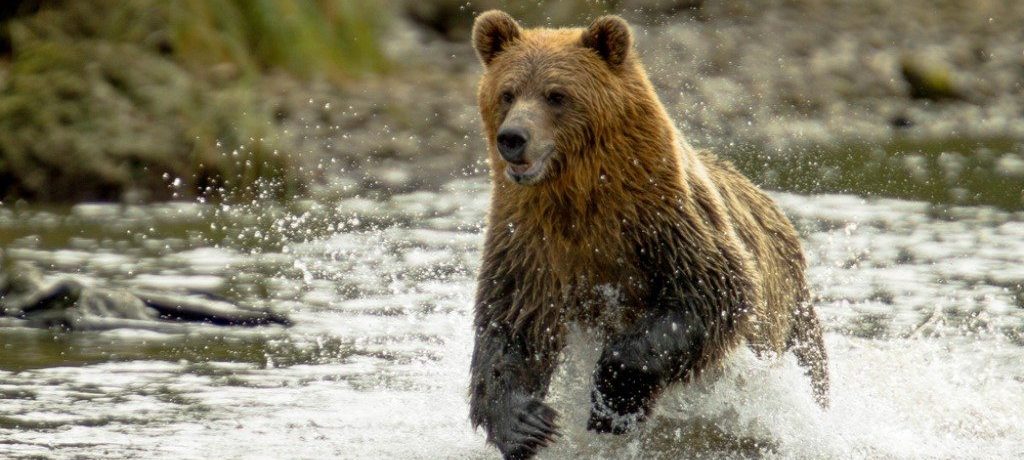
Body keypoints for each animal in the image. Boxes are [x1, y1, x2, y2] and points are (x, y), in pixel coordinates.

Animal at [468, 8, 827, 456]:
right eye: (508, 93)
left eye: (556, 95)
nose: (513, 138)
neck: (580, 197)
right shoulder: (529, 241)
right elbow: (511, 324)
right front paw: (526, 422)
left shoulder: (664, 219)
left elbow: (710, 293)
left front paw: (611, 401)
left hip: (793, 320)